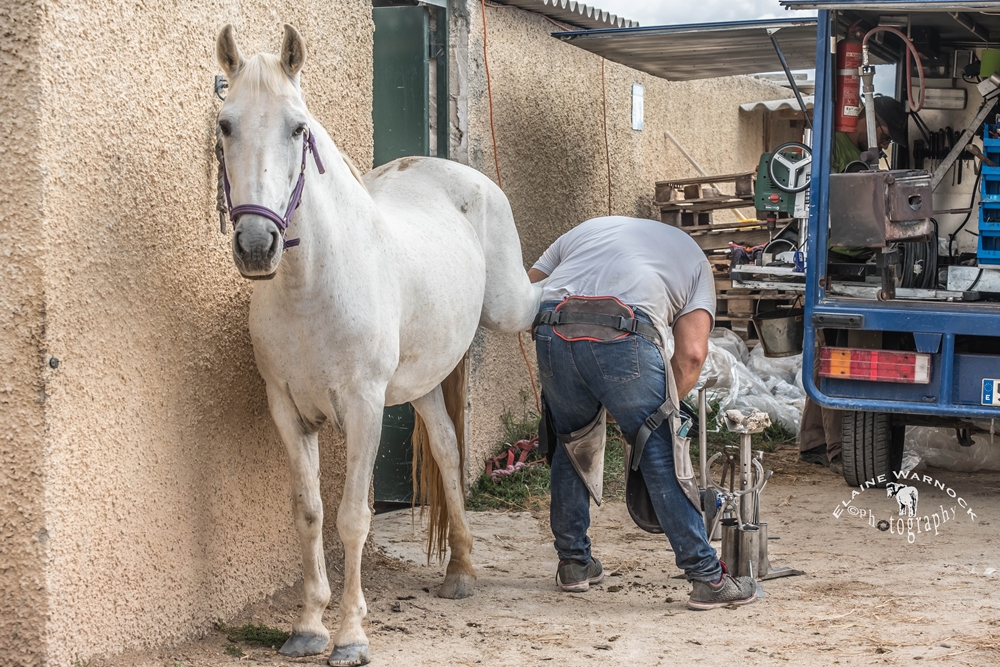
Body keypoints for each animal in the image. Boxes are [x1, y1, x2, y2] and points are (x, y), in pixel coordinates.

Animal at [214, 24, 540, 666]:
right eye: (225, 124)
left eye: (299, 128)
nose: (258, 244)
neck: (311, 287)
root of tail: (455, 171)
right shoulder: (287, 410)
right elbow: (309, 513)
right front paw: (308, 627)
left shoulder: (364, 408)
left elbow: (352, 519)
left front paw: (350, 636)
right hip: (422, 383)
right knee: (447, 449)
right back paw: (460, 571)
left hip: (509, 307)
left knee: (547, 301)